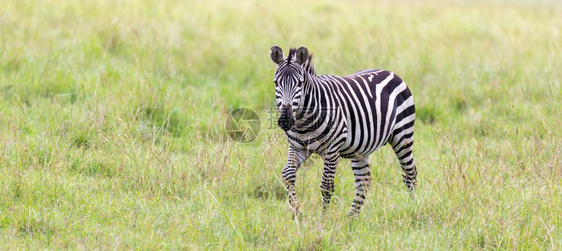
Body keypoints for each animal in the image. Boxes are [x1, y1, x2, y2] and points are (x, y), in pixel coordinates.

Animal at [272, 45, 416, 216]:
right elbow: (288, 174)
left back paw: (414, 207)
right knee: (363, 180)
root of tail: (389, 72)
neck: (303, 123)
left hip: (403, 135)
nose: (285, 120)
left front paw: (324, 218)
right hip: (361, 148)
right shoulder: (297, 147)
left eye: (300, 83)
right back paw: (351, 217)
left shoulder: (332, 150)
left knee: (410, 173)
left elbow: (326, 186)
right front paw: (296, 211)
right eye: (276, 83)